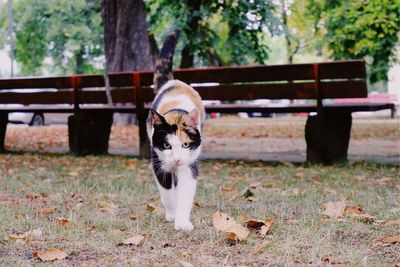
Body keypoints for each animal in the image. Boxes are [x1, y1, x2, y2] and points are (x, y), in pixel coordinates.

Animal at [146, 30, 205, 232]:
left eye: (185, 144)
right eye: (166, 145)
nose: (177, 160)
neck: (176, 112)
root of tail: (173, 81)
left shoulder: (190, 164)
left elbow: (185, 193)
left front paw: (182, 222)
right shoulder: (158, 162)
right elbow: (167, 192)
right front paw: (172, 214)